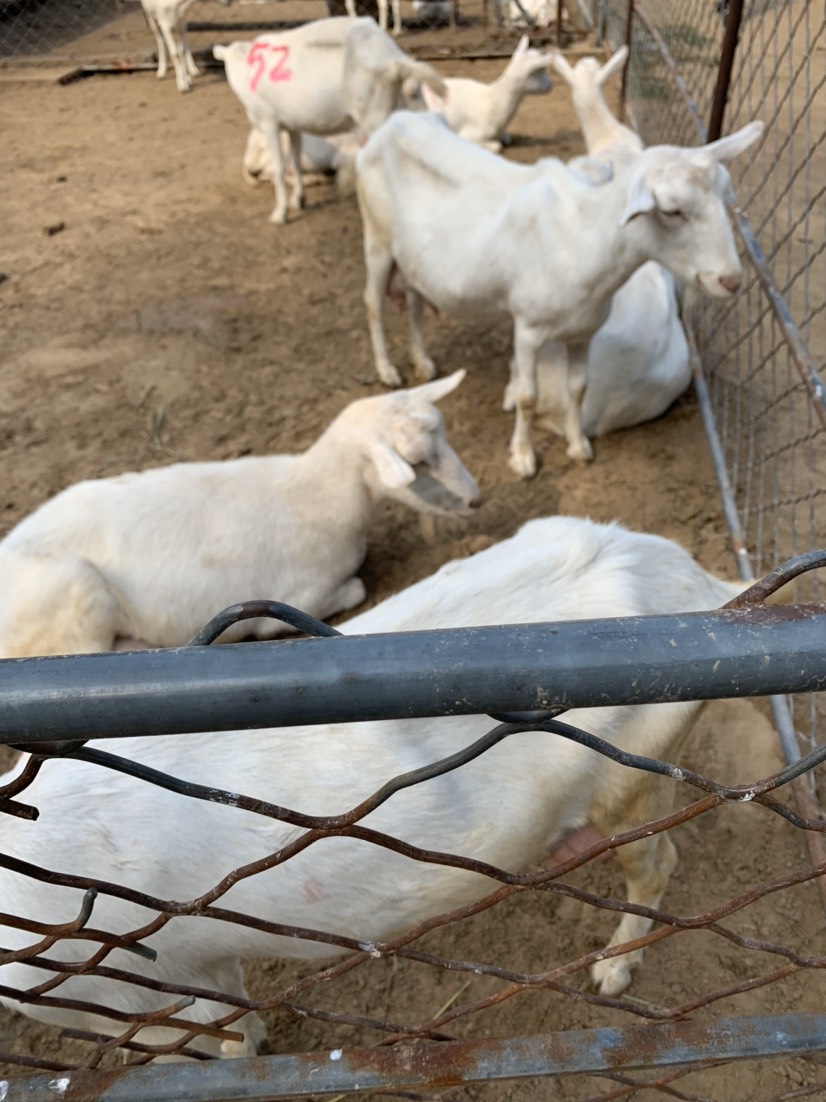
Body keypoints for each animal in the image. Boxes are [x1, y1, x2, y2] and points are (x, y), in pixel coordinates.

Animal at [0, 374, 477, 656]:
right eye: (416, 462)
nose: (475, 499)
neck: (315, 496)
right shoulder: (300, 598)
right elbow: (354, 589)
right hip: (74, 600)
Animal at [0, 511, 744, 1053]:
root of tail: (700, 585)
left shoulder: (128, 992)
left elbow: (217, 1041)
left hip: (635, 769)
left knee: (656, 864)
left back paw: (614, 968)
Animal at [213, 17, 447, 224]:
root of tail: (393, 58)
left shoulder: (269, 121)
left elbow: (279, 167)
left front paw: (280, 214)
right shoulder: (291, 125)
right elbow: (295, 161)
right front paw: (299, 200)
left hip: (374, 116)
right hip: (406, 108)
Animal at [420, 34, 557, 153]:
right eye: (541, 69)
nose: (551, 85)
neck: (492, 101)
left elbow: (507, 138)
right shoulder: (468, 135)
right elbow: (497, 146)